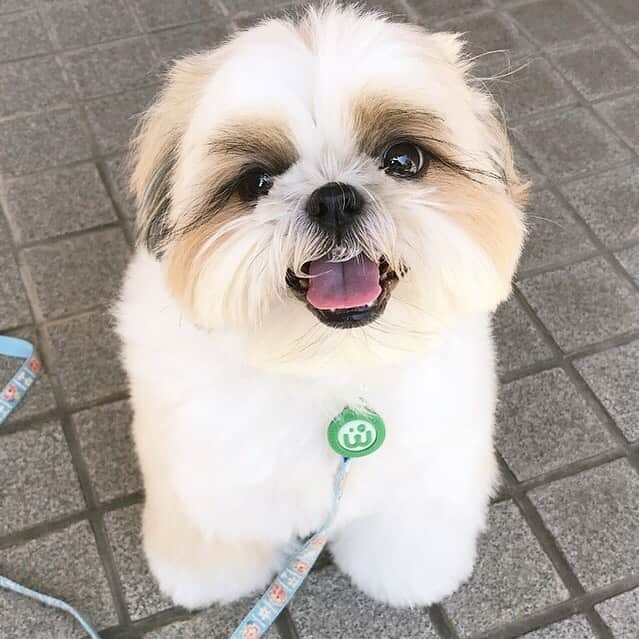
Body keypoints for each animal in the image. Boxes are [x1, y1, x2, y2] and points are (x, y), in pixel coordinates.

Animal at [116, 3, 528, 608]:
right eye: (256, 182)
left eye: (404, 159)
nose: (333, 198)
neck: (331, 364)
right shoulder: (206, 474)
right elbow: (216, 528)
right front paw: (209, 576)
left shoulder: (424, 468)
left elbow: (406, 528)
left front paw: (412, 575)